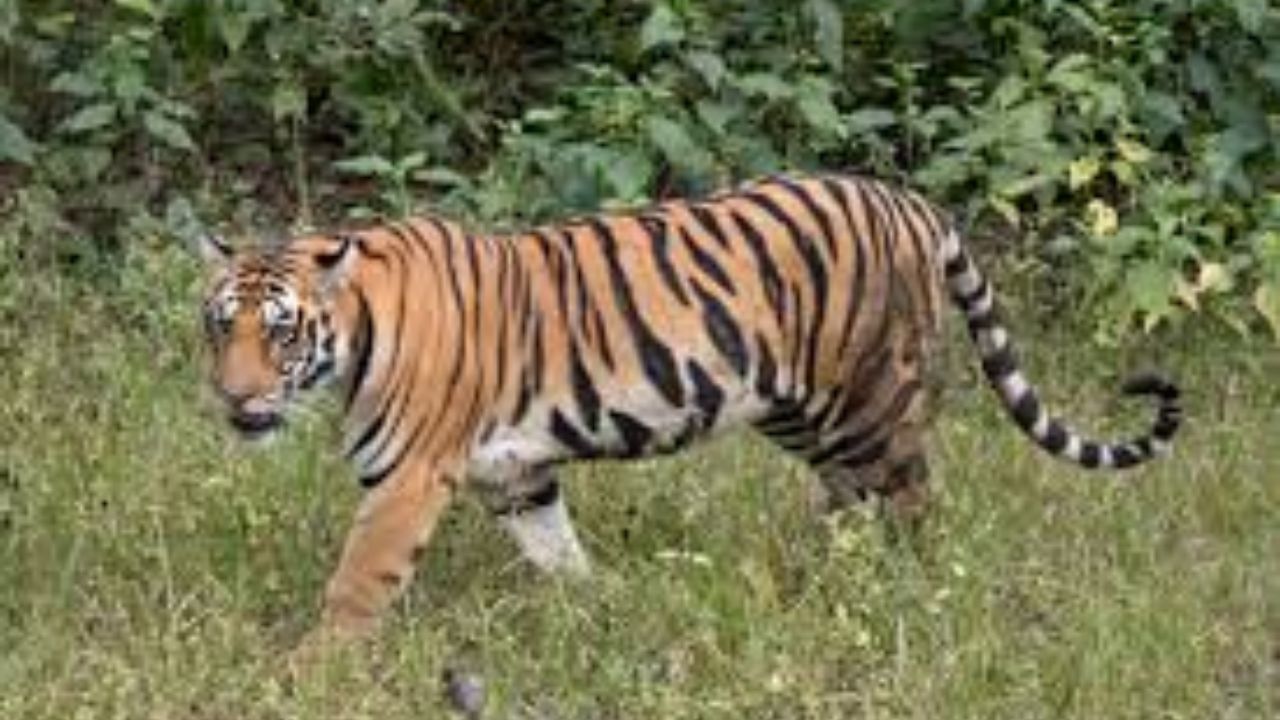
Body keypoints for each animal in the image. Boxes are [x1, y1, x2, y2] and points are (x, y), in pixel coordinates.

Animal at [196, 173, 1182, 648]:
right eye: (219, 325)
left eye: (280, 333)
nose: (235, 398)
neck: (353, 338)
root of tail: (912, 202)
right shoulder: (517, 474)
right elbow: (559, 553)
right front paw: (601, 610)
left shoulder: (406, 478)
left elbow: (357, 582)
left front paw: (310, 672)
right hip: (798, 409)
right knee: (850, 496)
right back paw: (819, 577)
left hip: (871, 397)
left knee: (913, 498)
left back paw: (912, 588)